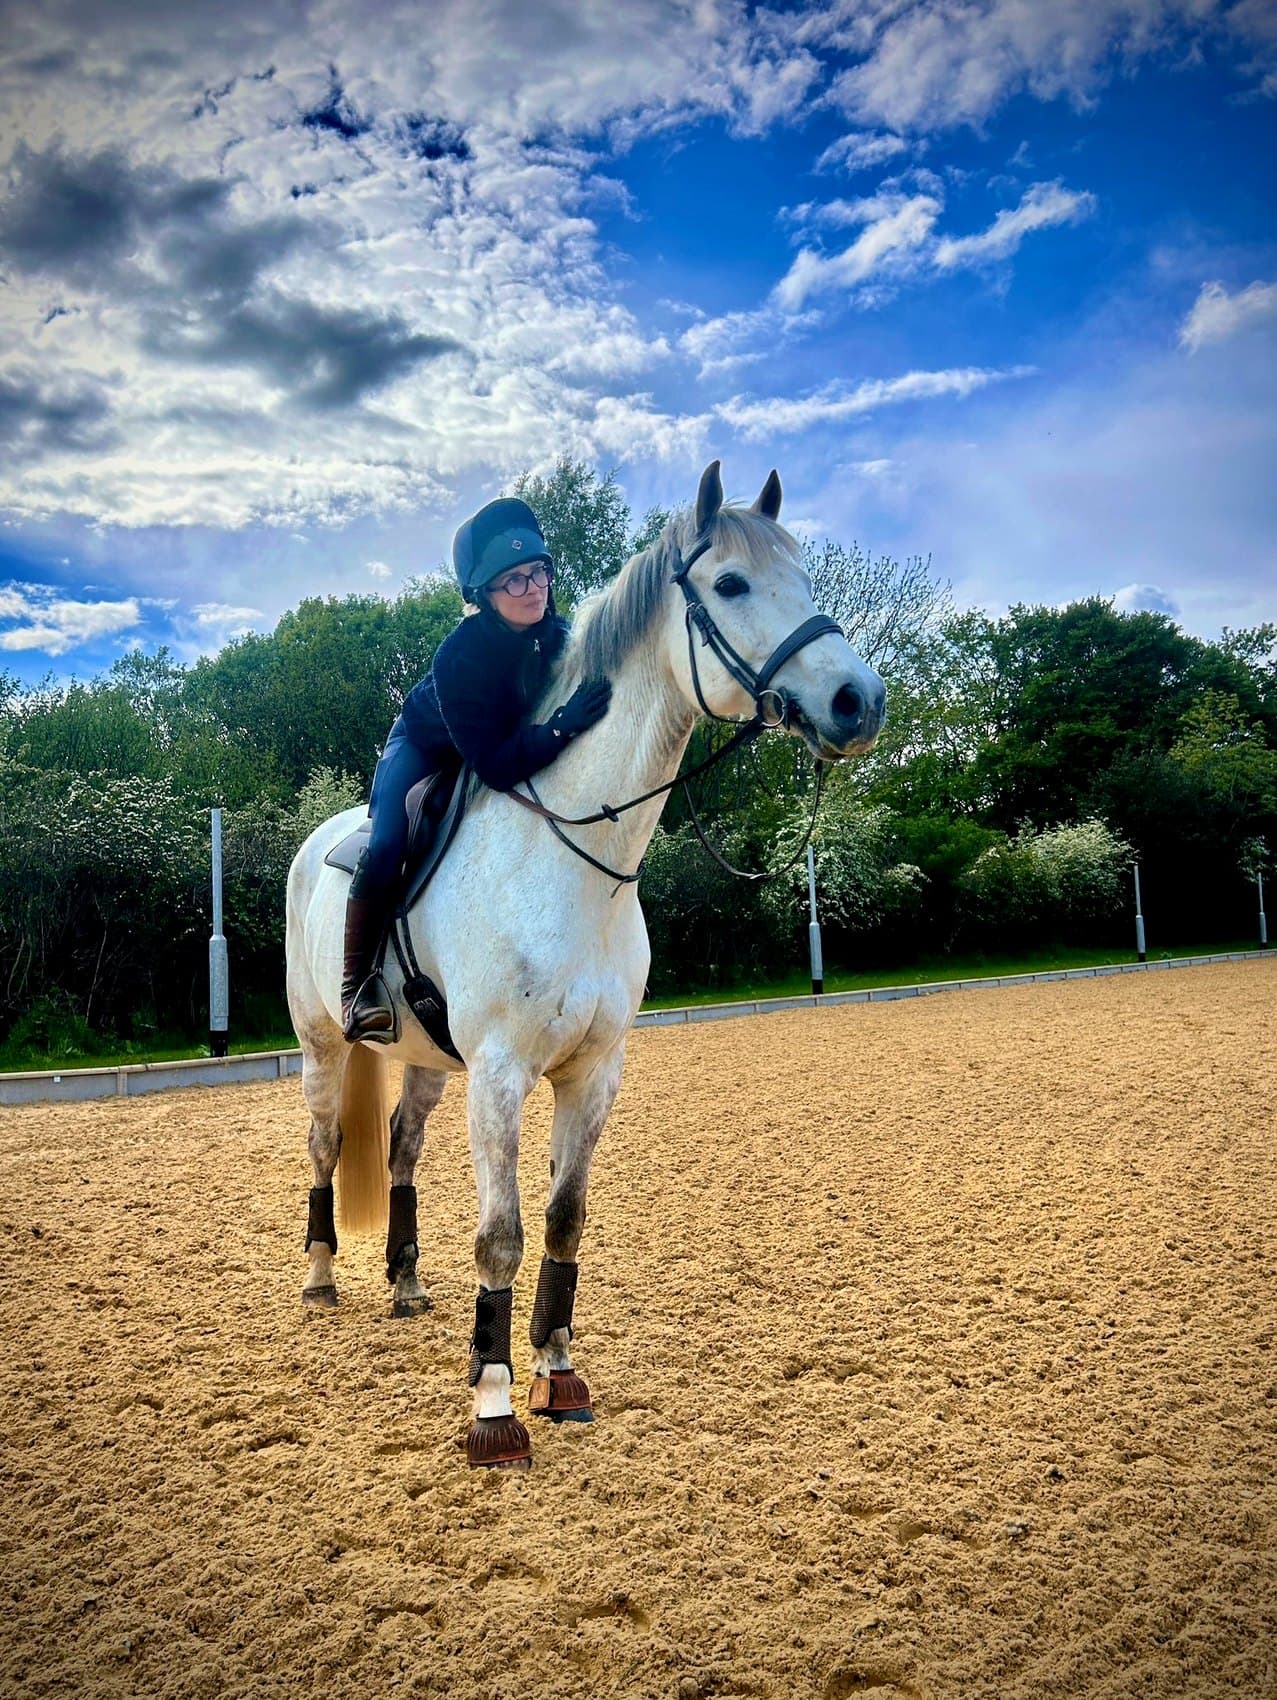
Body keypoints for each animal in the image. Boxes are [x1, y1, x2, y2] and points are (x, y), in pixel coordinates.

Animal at [284, 460, 886, 1468]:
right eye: (730, 583)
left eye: (804, 578)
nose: (858, 701)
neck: (573, 860)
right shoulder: (500, 1075)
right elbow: (501, 1236)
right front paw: (493, 1408)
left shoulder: (592, 1072)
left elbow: (564, 1221)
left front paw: (556, 1374)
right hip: (325, 1048)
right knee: (328, 1146)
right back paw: (323, 1276)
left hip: (425, 1062)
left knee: (401, 1149)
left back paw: (404, 1285)